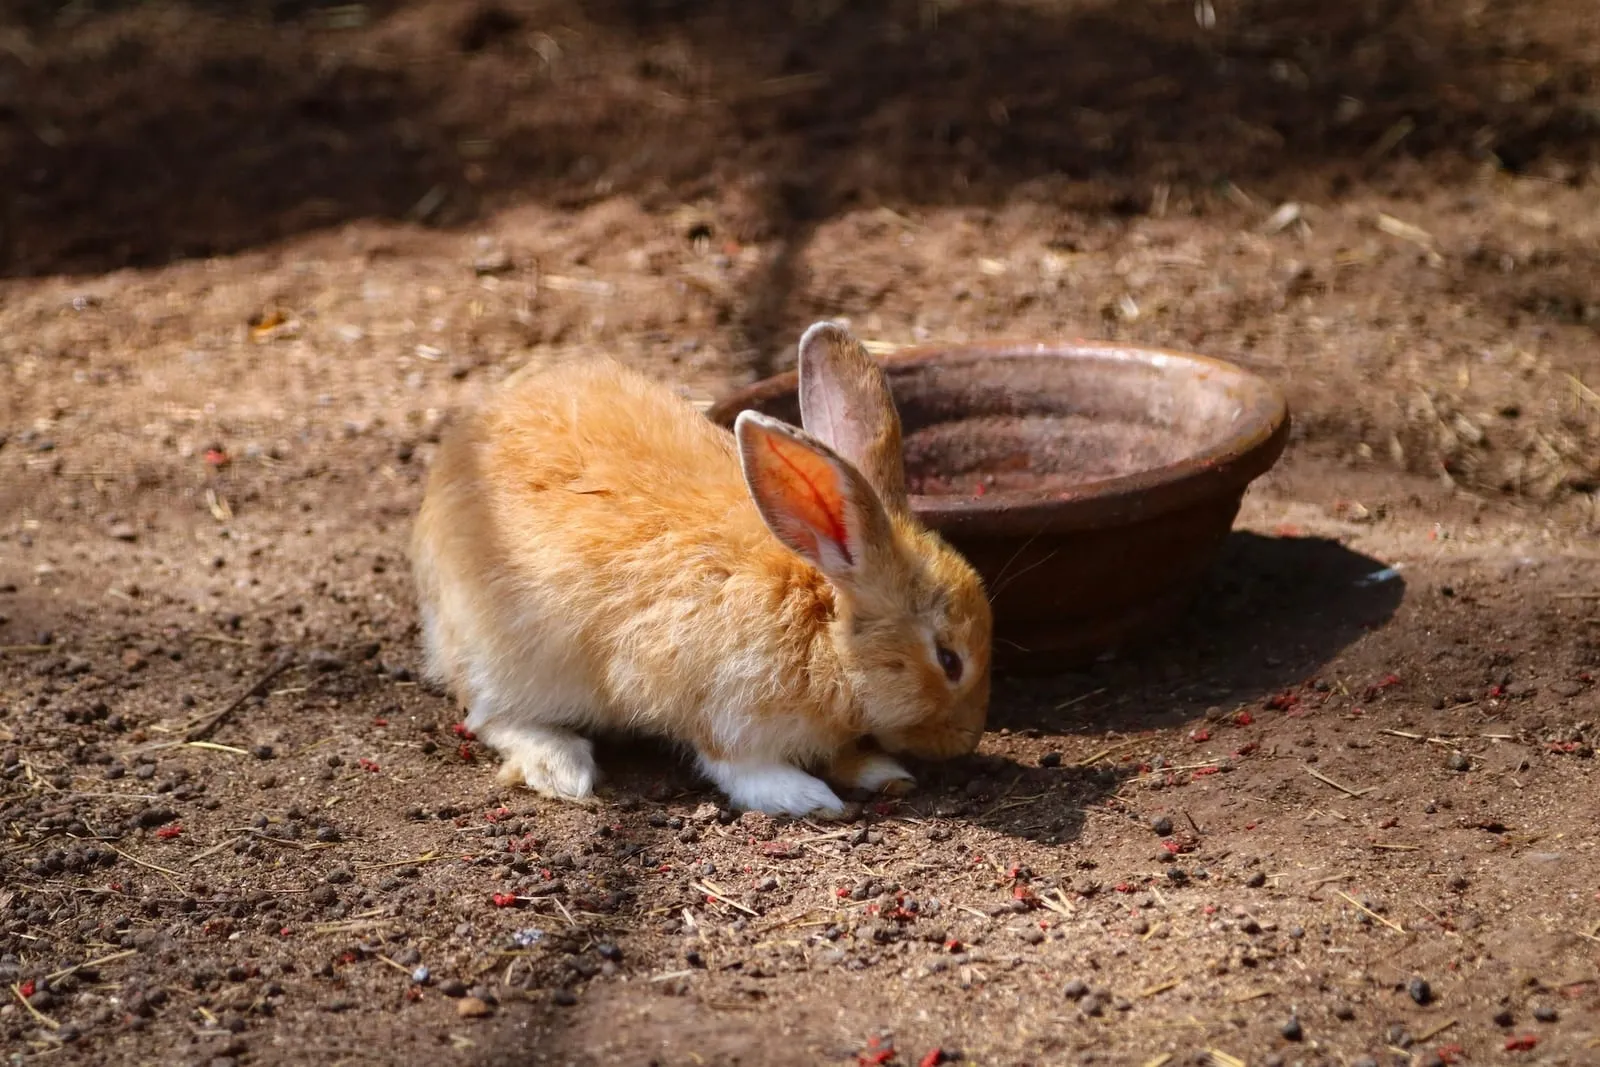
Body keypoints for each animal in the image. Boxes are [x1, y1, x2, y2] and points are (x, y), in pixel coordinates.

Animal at [410, 321, 992, 817]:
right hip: (515, 661)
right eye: (948, 660)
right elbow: (737, 765)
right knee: (488, 715)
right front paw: (805, 797)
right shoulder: (719, 704)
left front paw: (877, 771)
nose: (966, 740)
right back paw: (562, 768)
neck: (823, 623)